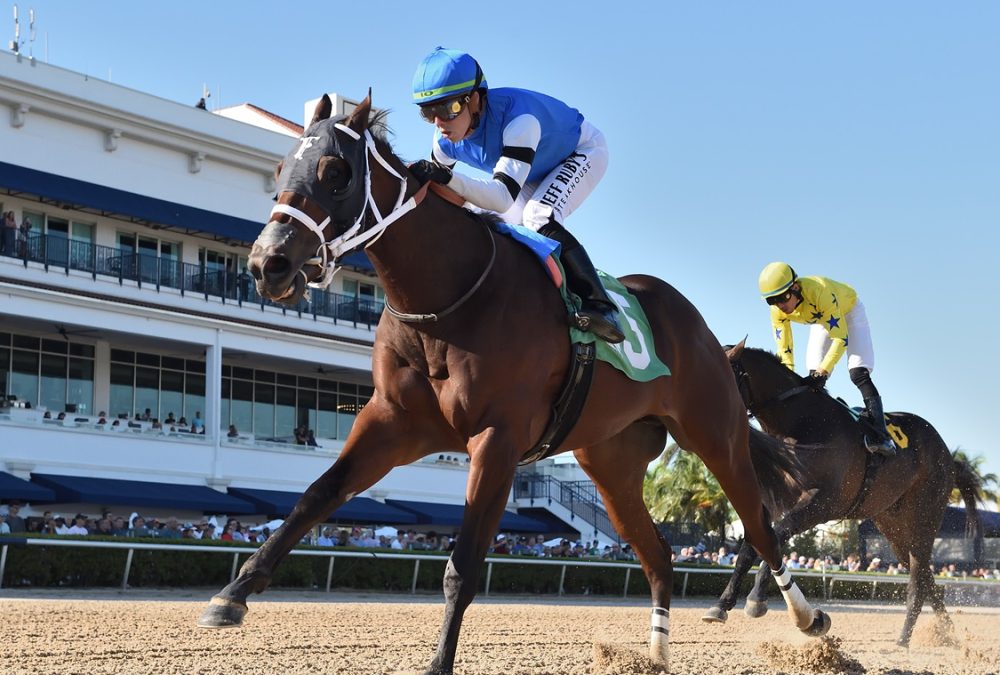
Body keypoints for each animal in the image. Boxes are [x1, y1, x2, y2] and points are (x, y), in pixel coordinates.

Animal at [195, 96, 828, 675]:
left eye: (336, 173)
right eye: (281, 169)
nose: (268, 265)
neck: (448, 299)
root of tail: (697, 323)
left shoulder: (496, 440)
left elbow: (464, 564)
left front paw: (438, 665)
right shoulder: (392, 422)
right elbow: (315, 496)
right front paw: (231, 597)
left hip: (716, 436)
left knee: (761, 529)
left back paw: (808, 619)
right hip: (611, 465)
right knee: (660, 555)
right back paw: (655, 653)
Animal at [708, 344, 988, 648]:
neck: (802, 424)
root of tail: (948, 456)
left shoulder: (821, 505)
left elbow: (775, 539)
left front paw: (758, 600)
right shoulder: (774, 503)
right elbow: (751, 547)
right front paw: (722, 605)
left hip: (926, 515)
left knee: (918, 580)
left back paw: (904, 639)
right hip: (893, 526)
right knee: (926, 576)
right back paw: (948, 634)